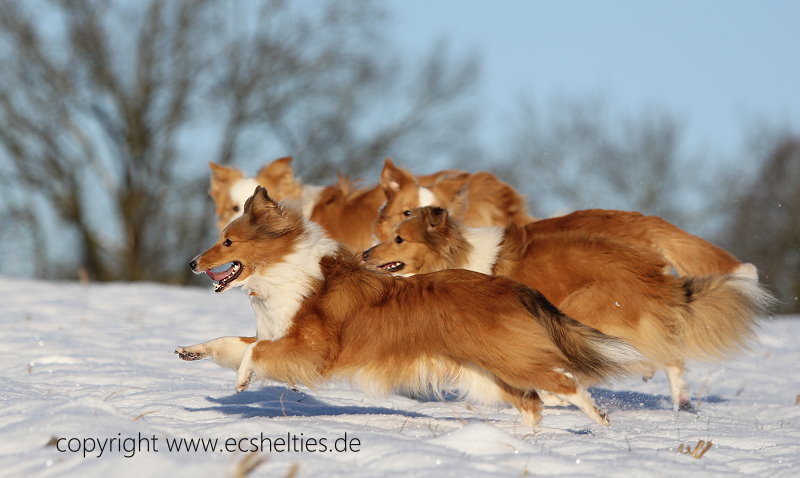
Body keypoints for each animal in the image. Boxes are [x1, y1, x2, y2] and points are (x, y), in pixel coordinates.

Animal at [177, 186, 645, 426]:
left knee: (566, 383)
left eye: (227, 242)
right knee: (532, 402)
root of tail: (512, 287)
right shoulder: (278, 335)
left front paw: (241, 381)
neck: (285, 269)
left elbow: (254, 352)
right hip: (488, 373)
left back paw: (601, 423)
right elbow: (229, 342)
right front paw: (190, 351)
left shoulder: (310, 349)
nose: (192, 263)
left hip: (509, 359)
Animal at [362, 206, 772, 410]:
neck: (457, 252)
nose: (364, 254)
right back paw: (681, 402)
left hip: (583, 305)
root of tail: (650, 270)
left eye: (399, 239)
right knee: (669, 357)